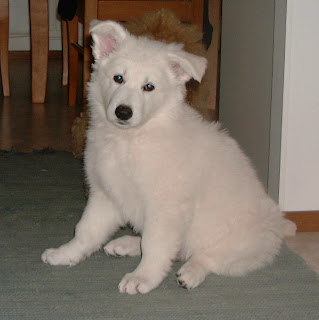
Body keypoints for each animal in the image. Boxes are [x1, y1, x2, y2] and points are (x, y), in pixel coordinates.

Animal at [41, 20, 296, 296]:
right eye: (118, 78)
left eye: (149, 87)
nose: (123, 112)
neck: (130, 140)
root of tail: (279, 224)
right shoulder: (105, 194)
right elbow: (86, 230)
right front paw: (65, 254)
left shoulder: (165, 207)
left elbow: (155, 244)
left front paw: (143, 277)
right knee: (178, 249)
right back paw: (126, 244)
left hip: (241, 241)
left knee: (208, 256)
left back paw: (190, 273)